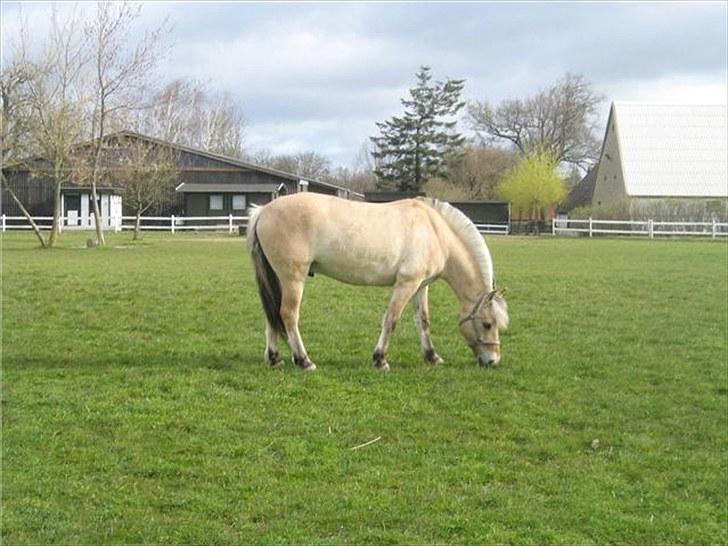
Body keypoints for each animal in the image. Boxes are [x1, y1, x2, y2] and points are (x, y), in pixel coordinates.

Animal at [247, 191, 510, 370]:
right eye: (488, 324)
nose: (493, 360)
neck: (434, 231)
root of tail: (263, 210)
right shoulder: (406, 284)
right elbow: (392, 320)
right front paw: (380, 359)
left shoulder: (420, 286)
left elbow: (423, 321)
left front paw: (432, 356)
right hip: (293, 278)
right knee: (288, 315)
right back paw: (304, 361)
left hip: (277, 278)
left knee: (272, 315)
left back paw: (275, 358)